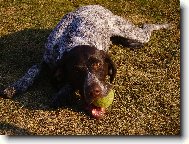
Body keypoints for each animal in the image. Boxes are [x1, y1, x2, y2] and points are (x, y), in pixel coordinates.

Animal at [1, 5, 170, 118]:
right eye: (76, 70)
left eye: (98, 65)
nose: (95, 92)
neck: (73, 40)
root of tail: (97, 6)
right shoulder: (47, 60)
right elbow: (33, 69)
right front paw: (16, 86)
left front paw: (62, 93)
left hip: (132, 33)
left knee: (147, 27)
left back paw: (163, 24)